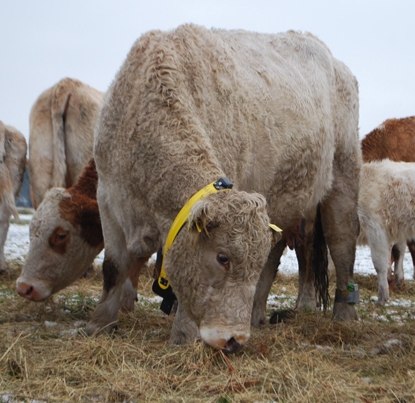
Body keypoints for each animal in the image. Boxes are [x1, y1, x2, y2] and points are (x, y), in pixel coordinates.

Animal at [88, 26, 364, 354]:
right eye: (223, 258)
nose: (235, 340)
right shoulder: (107, 197)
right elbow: (113, 268)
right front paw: (101, 324)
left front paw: (182, 339)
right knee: (274, 257)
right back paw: (257, 314)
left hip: (344, 177)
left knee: (343, 243)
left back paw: (344, 315)